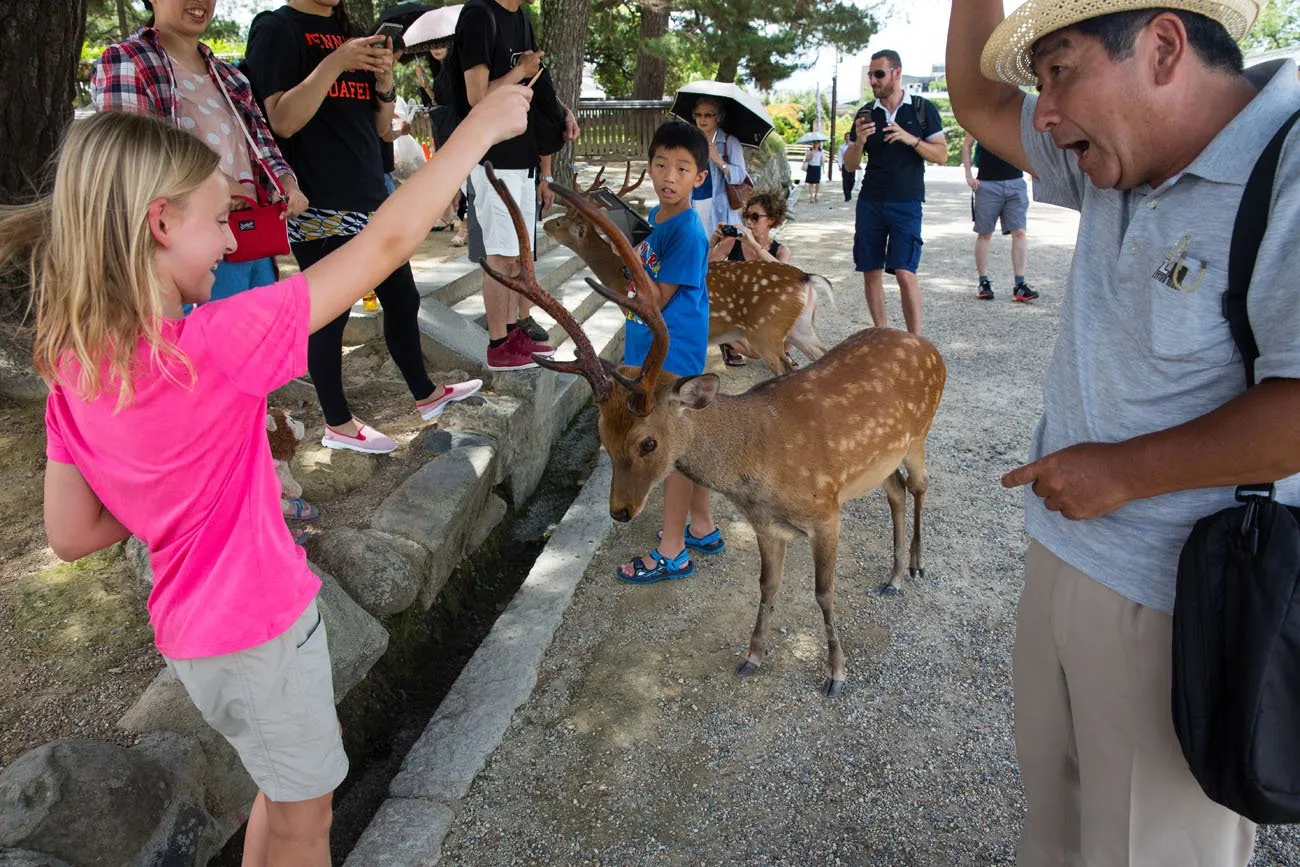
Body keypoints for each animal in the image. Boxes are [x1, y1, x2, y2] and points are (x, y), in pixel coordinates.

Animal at [540, 164, 826, 374]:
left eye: (563, 221)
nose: (545, 224)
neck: (621, 282)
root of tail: (806, 278)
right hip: (801, 327)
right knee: (820, 353)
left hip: (766, 330)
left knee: (786, 368)